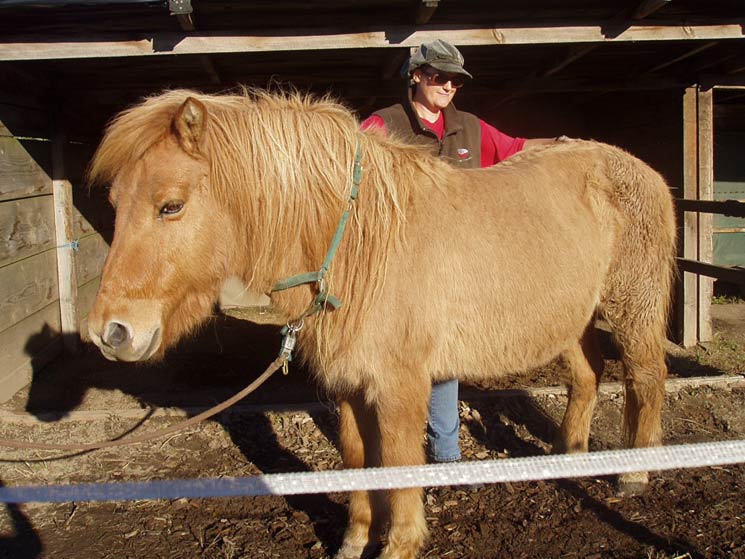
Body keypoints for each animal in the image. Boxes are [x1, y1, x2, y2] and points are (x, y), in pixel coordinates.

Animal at [85, 87, 676, 559]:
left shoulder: (398, 388)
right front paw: (354, 540)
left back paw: (636, 473)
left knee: (646, 377)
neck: (359, 247)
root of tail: (640, 169)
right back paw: (566, 456)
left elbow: (398, 467)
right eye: (115, 201)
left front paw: (399, 544)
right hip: (570, 317)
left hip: (632, 307)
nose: (110, 332)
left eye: (171, 206)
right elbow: (358, 461)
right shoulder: (348, 387)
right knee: (588, 375)